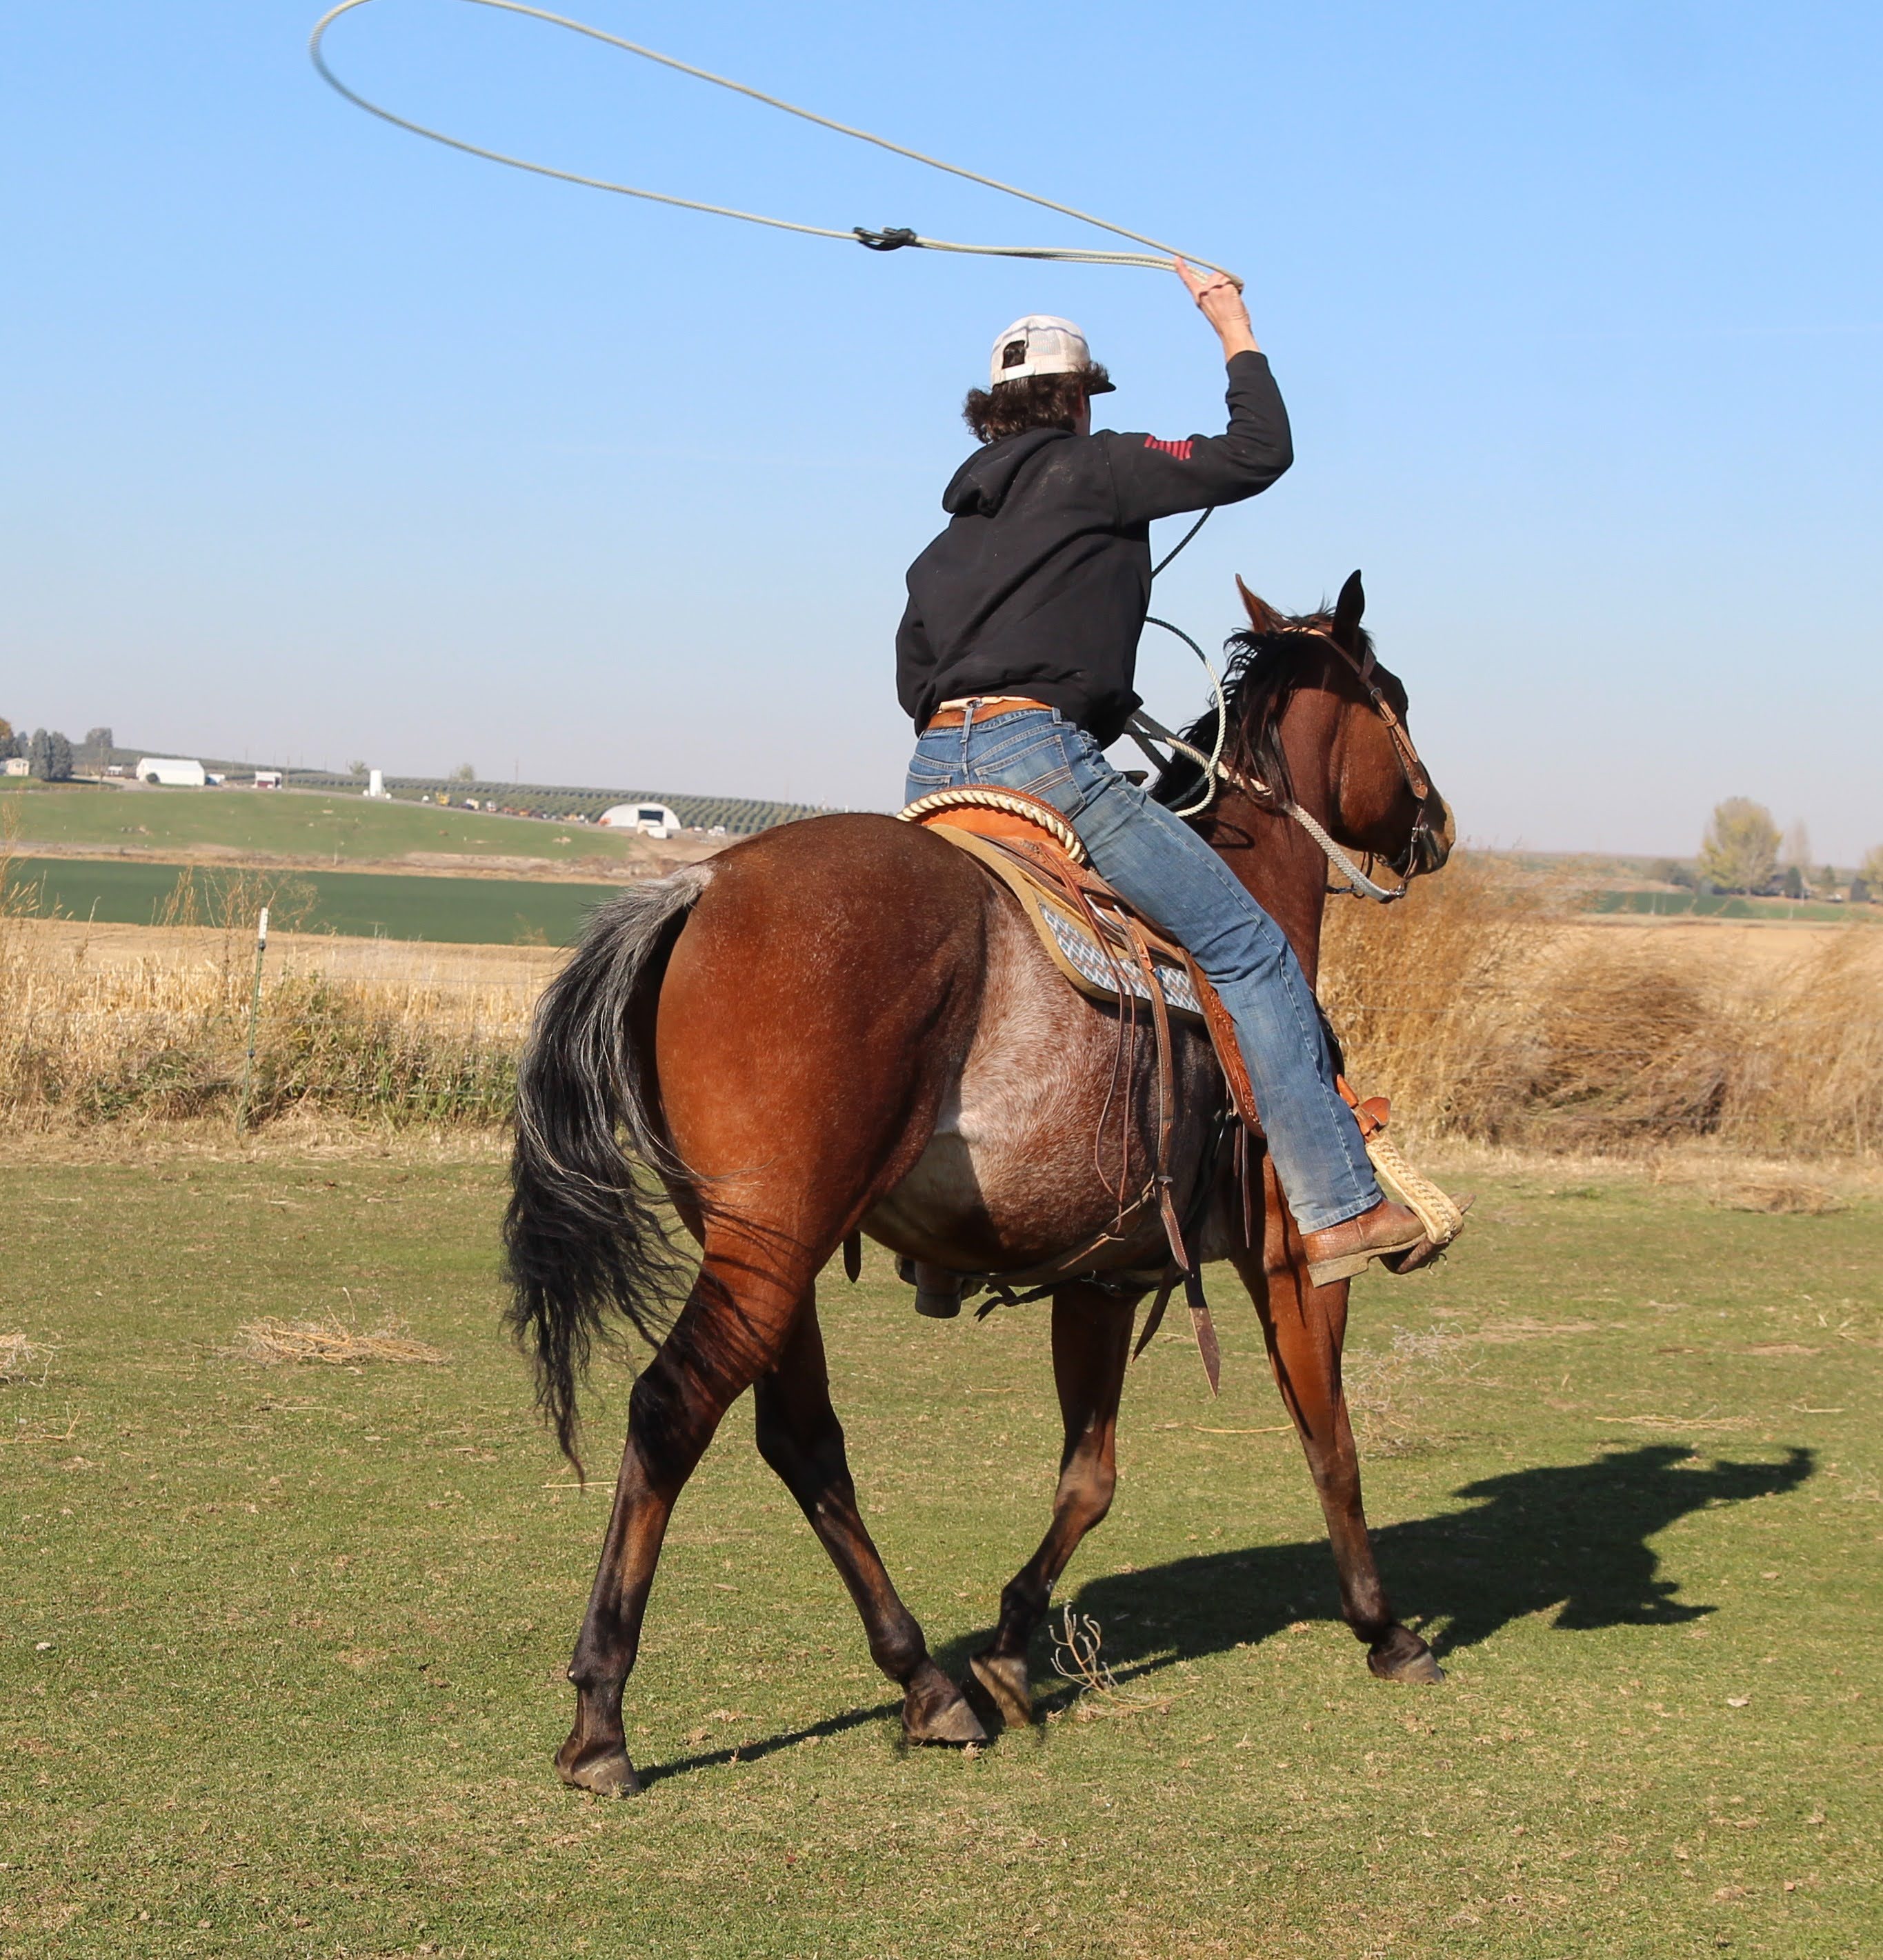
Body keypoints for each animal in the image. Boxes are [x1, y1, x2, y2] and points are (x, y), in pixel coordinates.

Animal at [504, 569, 1455, 1794]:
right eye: (1393, 693)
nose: (1437, 823)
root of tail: (702, 885)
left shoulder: (1101, 1278)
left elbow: (1088, 1473)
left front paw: (1007, 1646)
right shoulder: (1288, 1253)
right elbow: (1327, 1437)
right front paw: (1385, 1628)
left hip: (767, 1248)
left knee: (801, 1440)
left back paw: (928, 1681)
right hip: (769, 1242)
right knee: (674, 1408)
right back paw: (601, 1718)